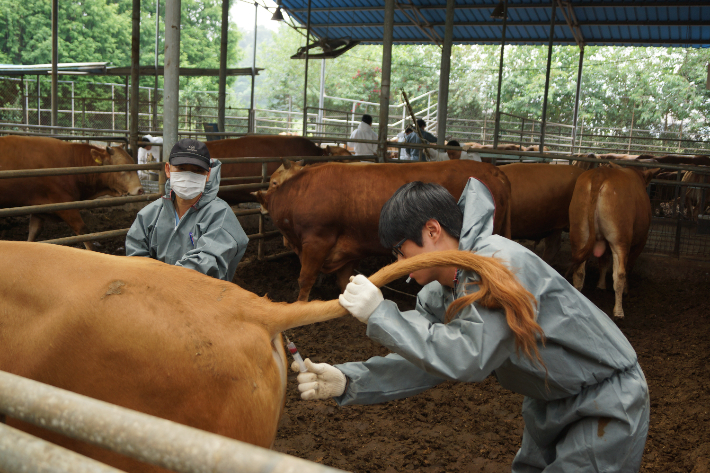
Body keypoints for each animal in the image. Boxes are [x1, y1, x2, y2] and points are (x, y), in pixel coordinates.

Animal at [0, 135, 145, 249]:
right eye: (123, 168)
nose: (140, 189)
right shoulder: (65, 205)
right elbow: (83, 232)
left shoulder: (39, 208)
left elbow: (33, 232)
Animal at [254, 159, 512, 298]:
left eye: (274, 181)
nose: (262, 211)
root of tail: (495, 171)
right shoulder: (347, 250)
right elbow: (344, 280)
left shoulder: (316, 241)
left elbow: (305, 278)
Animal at [568, 162, 660, 318]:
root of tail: (601, 173)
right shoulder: (641, 241)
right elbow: (628, 266)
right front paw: (626, 290)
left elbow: (603, 261)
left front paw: (600, 286)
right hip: (620, 237)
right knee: (619, 274)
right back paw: (618, 311)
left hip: (579, 232)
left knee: (579, 272)